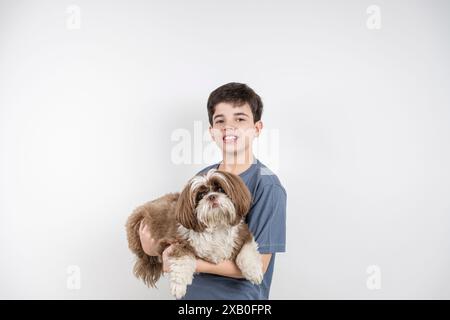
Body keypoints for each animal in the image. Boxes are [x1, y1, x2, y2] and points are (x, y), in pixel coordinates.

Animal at [125, 169, 264, 298]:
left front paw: (254, 271)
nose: (211, 196)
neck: (216, 227)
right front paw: (178, 285)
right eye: (201, 195)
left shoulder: (242, 235)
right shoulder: (176, 241)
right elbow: (183, 260)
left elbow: (247, 251)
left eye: (220, 189)